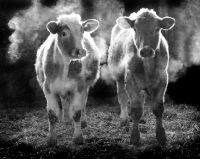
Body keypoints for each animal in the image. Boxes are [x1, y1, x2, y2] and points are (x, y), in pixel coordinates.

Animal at [35, 13, 100, 145]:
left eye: (82, 31)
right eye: (64, 33)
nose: (81, 51)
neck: (65, 65)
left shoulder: (78, 87)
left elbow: (76, 112)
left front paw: (78, 137)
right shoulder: (49, 89)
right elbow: (52, 114)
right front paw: (51, 139)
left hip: (85, 86)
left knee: (83, 103)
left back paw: (83, 121)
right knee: (64, 102)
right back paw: (65, 119)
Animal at [108, 8, 175, 145]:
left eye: (157, 29)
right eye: (135, 29)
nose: (146, 50)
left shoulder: (162, 80)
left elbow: (158, 108)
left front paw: (161, 135)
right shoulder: (131, 81)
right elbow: (135, 110)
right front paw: (134, 137)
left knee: (142, 99)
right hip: (118, 76)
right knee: (122, 97)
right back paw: (124, 120)